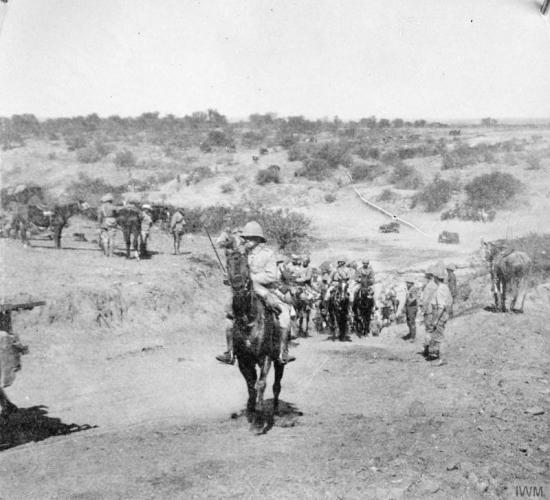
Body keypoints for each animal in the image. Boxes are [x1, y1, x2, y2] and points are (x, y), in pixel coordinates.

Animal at [226, 248, 286, 424]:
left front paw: (259, 412)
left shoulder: (265, 357)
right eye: (228, 265)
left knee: (276, 385)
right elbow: (250, 384)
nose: (238, 287)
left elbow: (261, 383)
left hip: (279, 361)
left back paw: (275, 410)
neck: (249, 319)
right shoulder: (244, 360)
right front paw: (250, 409)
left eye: (246, 265)